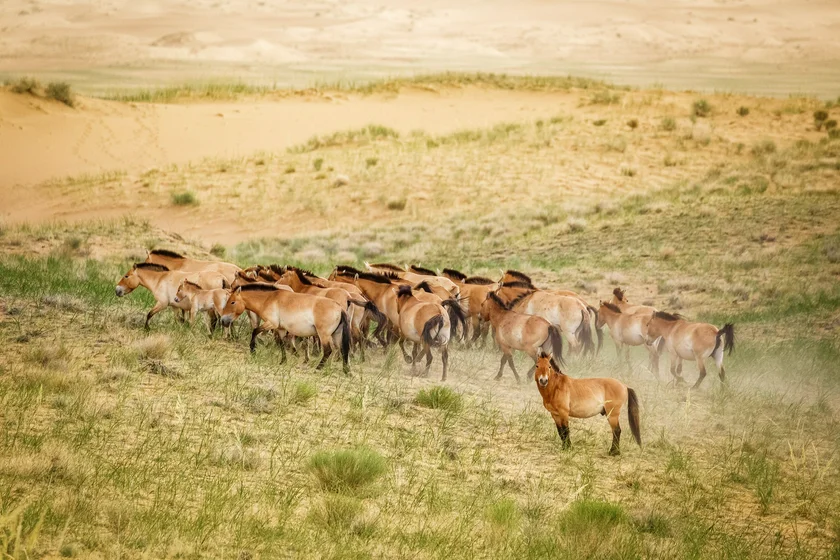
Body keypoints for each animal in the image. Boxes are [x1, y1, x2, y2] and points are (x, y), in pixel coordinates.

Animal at [219, 284, 351, 373]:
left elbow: (255, 331)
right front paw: (283, 361)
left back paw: (318, 368)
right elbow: (281, 343)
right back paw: (345, 370)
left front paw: (253, 351)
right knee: (341, 350)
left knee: (328, 350)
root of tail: (340, 308)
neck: (269, 299)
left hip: (324, 335)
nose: (223, 321)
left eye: (232, 302)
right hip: (336, 335)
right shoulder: (280, 329)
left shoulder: (270, 323)